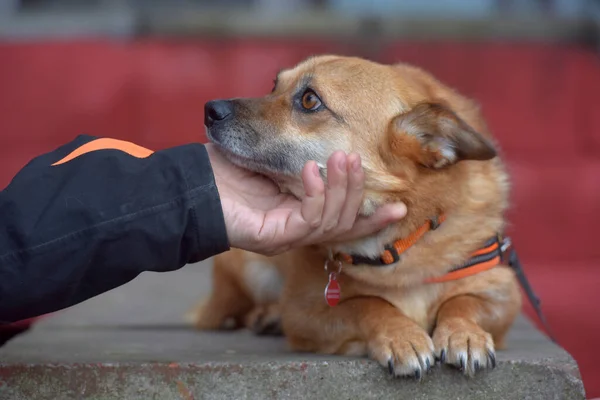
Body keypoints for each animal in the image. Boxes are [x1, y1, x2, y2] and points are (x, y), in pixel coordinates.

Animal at [188, 55, 520, 378]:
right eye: (274, 85)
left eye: (309, 100)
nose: (210, 109)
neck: (399, 241)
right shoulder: (305, 313)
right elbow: (367, 303)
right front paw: (402, 336)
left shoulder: (503, 291)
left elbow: (463, 301)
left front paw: (464, 334)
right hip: (248, 268)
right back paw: (266, 314)